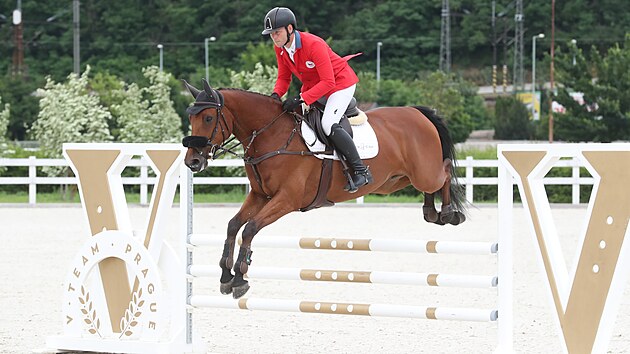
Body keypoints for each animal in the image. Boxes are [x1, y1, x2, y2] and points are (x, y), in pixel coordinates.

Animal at [183, 80, 470, 298]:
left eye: (208, 117)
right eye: (191, 118)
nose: (192, 162)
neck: (272, 134)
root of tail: (417, 112)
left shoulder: (286, 199)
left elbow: (250, 228)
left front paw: (240, 277)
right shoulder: (260, 195)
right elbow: (234, 225)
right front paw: (225, 275)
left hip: (423, 174)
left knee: (444, 172)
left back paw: (448, 213)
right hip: (395, 180)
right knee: (430, 182)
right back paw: (430, 211)